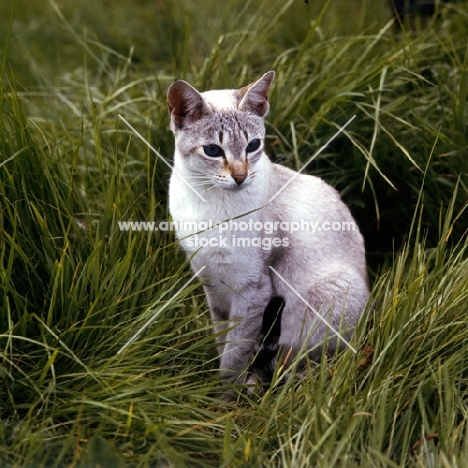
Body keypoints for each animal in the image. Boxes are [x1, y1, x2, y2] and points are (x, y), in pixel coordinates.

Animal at [167, 70, 370, 392]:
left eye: (253, 146)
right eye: (213, 150)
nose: (240, 177)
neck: (208, 202)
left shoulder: (253, 290)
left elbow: (233, 354)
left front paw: (223, 397)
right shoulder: (212, 283)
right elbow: (222, 338)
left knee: (304, 362)